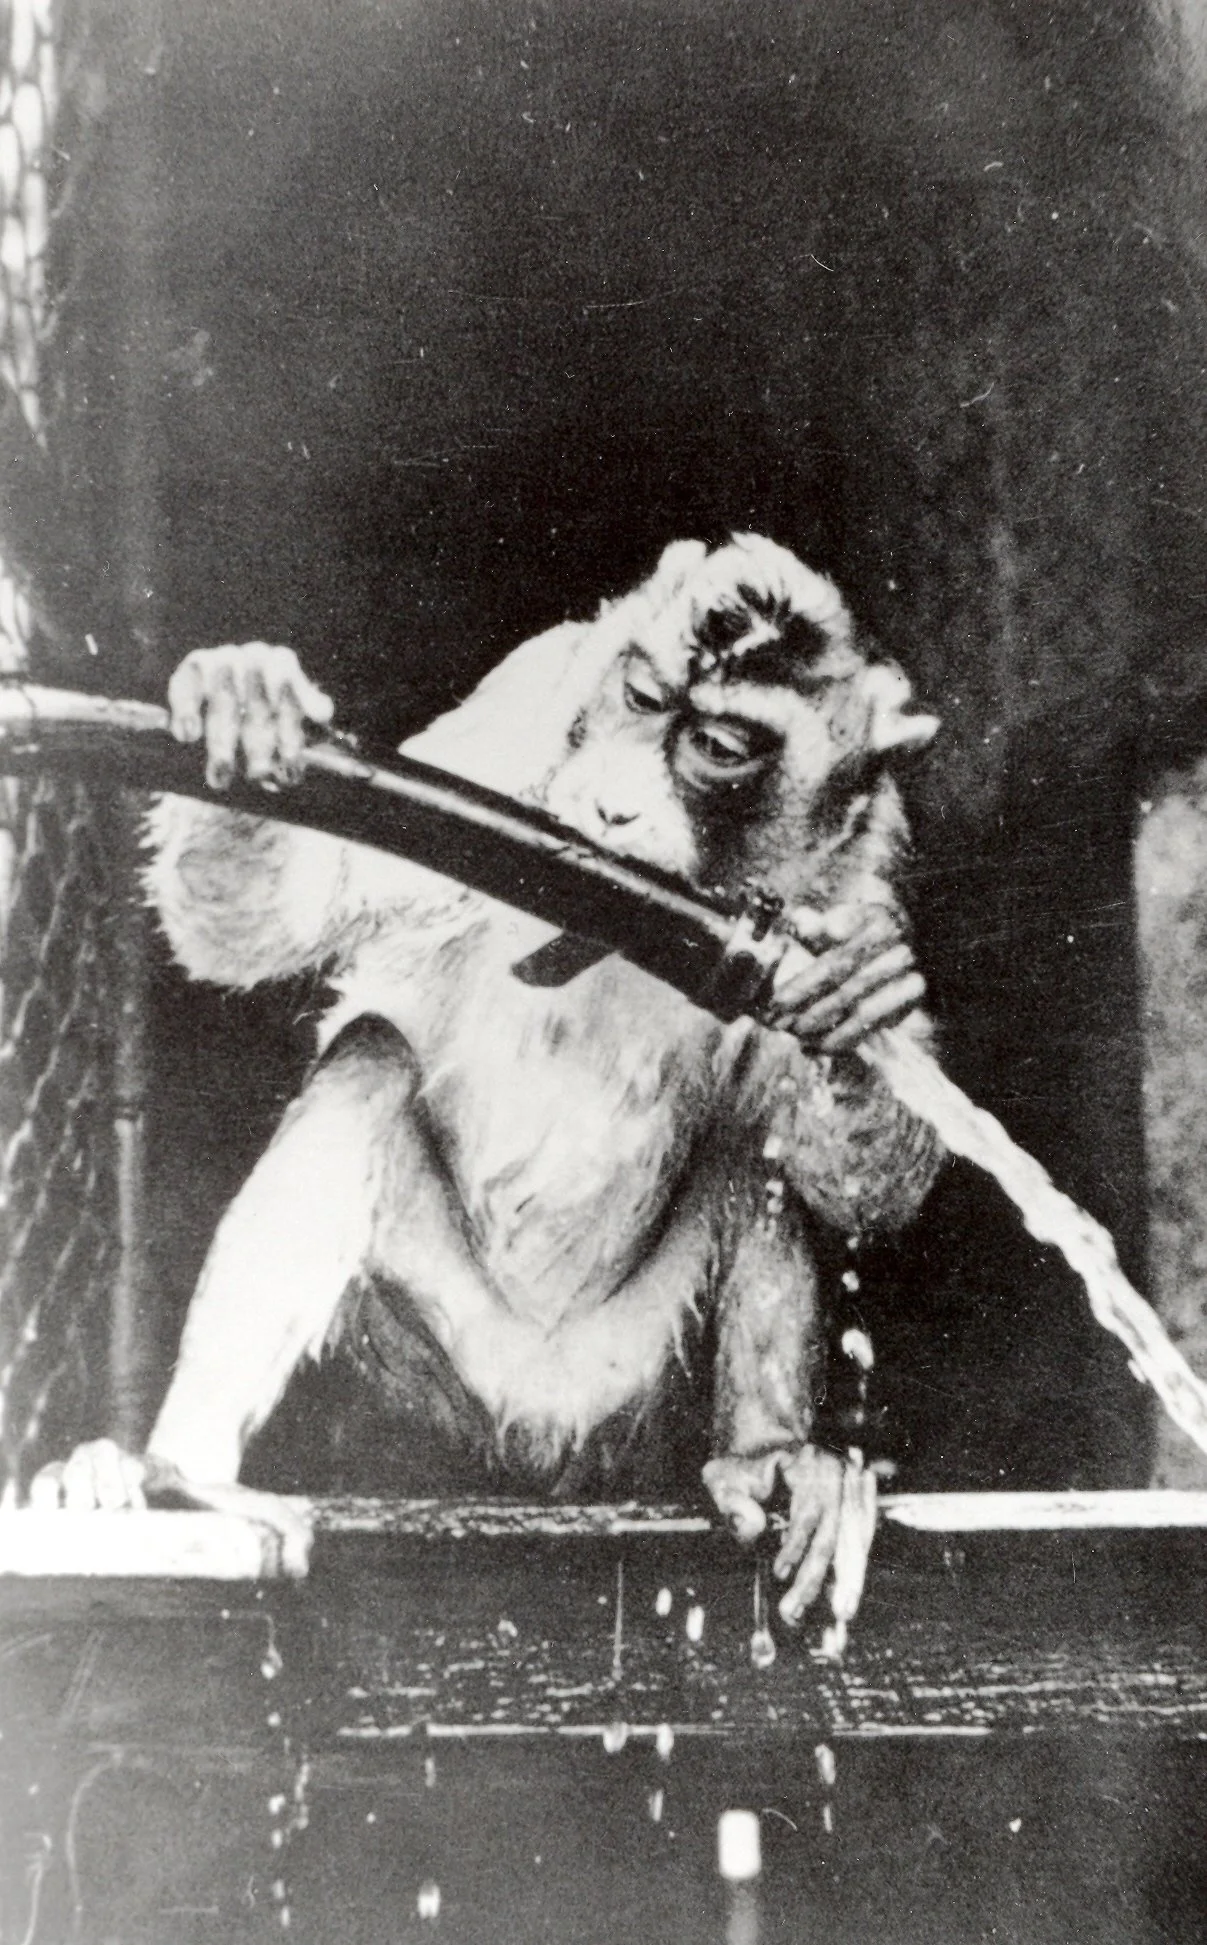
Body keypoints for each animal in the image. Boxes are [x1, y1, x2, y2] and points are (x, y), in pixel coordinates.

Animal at [33, 535, 943, 1624]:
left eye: (720, 746)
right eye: (641, 694)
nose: (612, 804)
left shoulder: (858, 866)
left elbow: (859, 1185)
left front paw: (857, 987)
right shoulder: (514, 719)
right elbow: (278, 918)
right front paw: (244, 705)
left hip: (623, 1387)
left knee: (753, 1149)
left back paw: (767, 1462)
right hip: (428, 1368)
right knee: (371, 1057)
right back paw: (183, 1478)